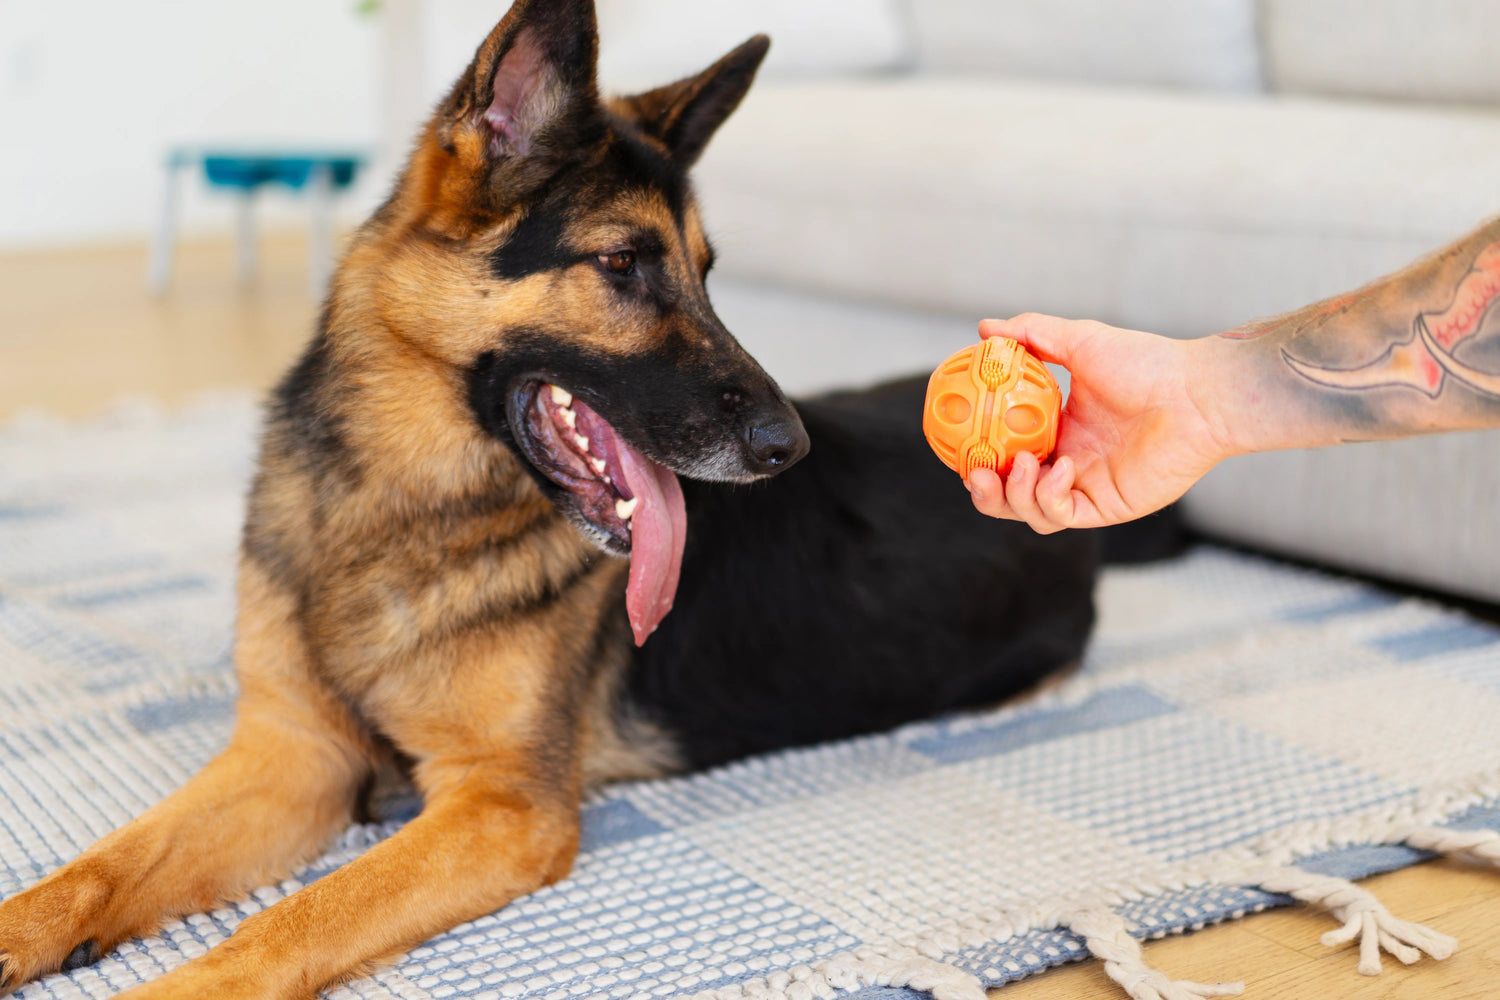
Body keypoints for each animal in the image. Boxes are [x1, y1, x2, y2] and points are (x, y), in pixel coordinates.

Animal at [0, 3, 1104, 995]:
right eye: (623, 264)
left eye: (708, 275)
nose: (786, 447)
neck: (397, 507)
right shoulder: (293, 754)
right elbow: (97, 867)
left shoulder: (500, 808)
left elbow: (291, 920)